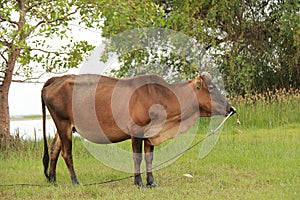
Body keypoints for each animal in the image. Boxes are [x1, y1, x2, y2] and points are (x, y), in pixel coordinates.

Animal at [41, 72, 234, 187]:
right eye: (212, 88)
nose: (231, 108)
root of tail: (56, 79)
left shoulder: (151, 134)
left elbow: (149, 158)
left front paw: (151, 182)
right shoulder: (136, 131)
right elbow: (137, 158)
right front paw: (138, 182)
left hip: (63, 127)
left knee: (54, 149)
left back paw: (53, 180)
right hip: (63, 123)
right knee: (66, 153)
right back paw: (75, 181)